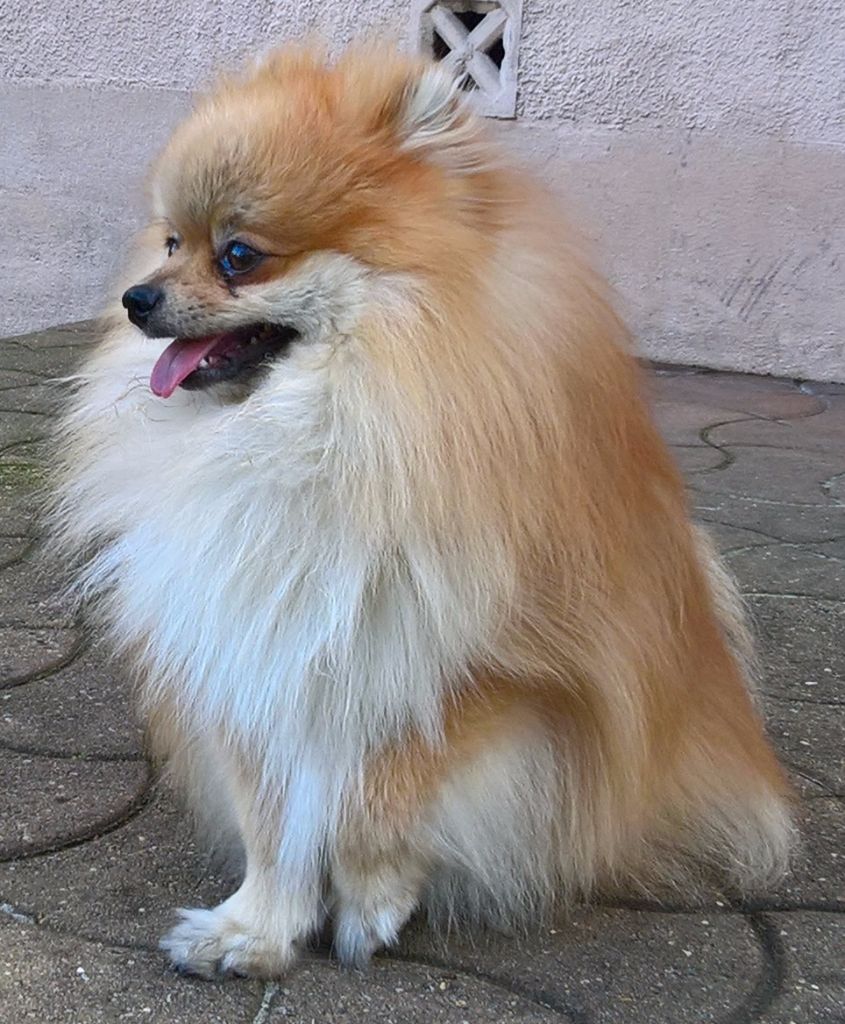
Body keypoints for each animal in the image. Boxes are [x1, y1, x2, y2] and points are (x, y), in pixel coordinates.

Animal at [52, 42, 794, 979]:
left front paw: (370, 900)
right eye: (170, 240)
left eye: (239, 255)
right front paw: (256, 927)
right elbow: (272, 817)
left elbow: (379, 801)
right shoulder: (249, 641)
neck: (335, 431)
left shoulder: (472, 668)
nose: (137, 298)